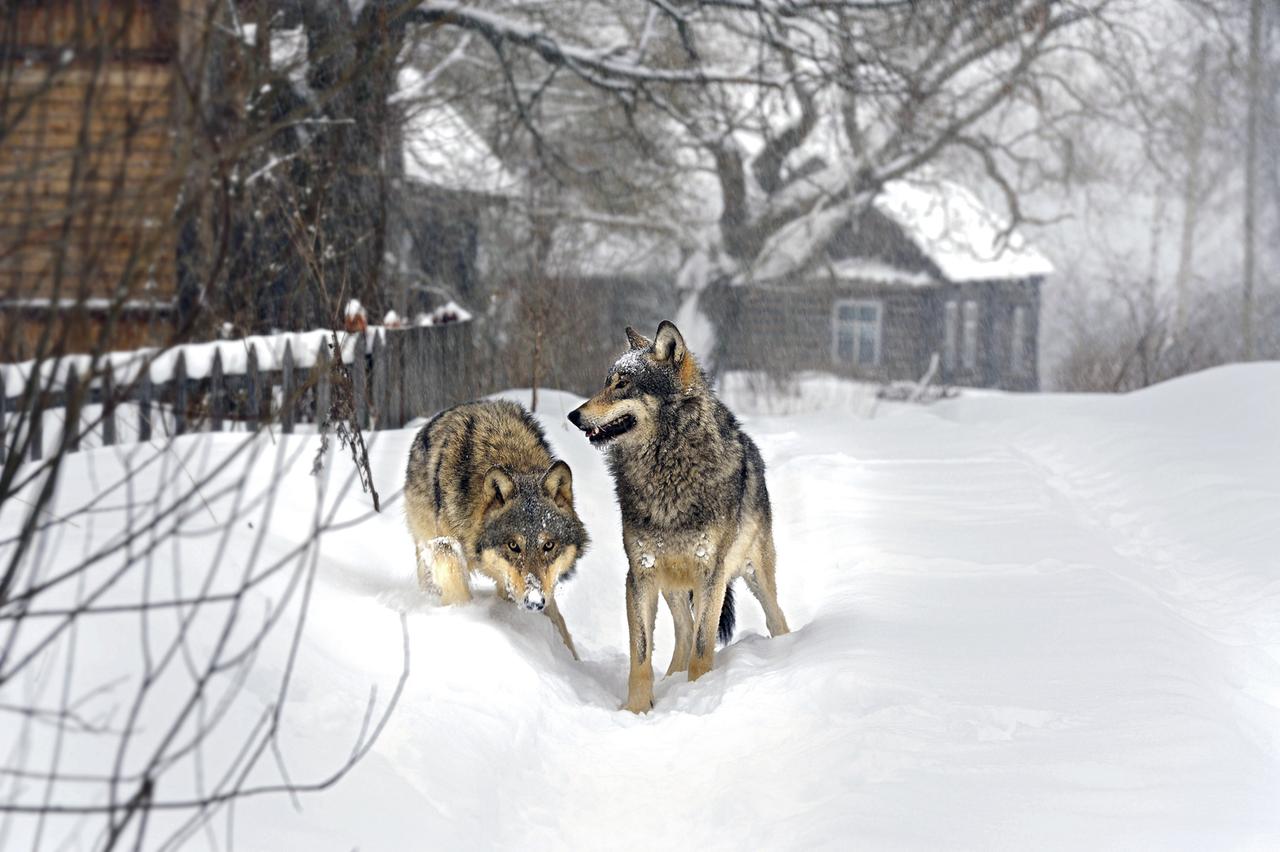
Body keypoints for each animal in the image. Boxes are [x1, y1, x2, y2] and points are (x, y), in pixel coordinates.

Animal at [401, 399, 586, 654]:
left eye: (548, 545)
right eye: (513, 546)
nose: (534, 602)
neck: (510, 456)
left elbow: (558, 620)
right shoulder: (445, 546)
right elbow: (456, 586)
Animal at [570, 318, 788, 711]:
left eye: (622, 384)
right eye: (607, 381)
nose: (573, 415)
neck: (666, 471)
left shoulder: (711, 575)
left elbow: (703, 648)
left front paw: (699, 698)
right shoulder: (640, 574)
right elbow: (641, 655)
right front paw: (637, 709)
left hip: (753, 575)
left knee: (774, 618)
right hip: (672, 584)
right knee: (684, 632)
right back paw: (671, 680)